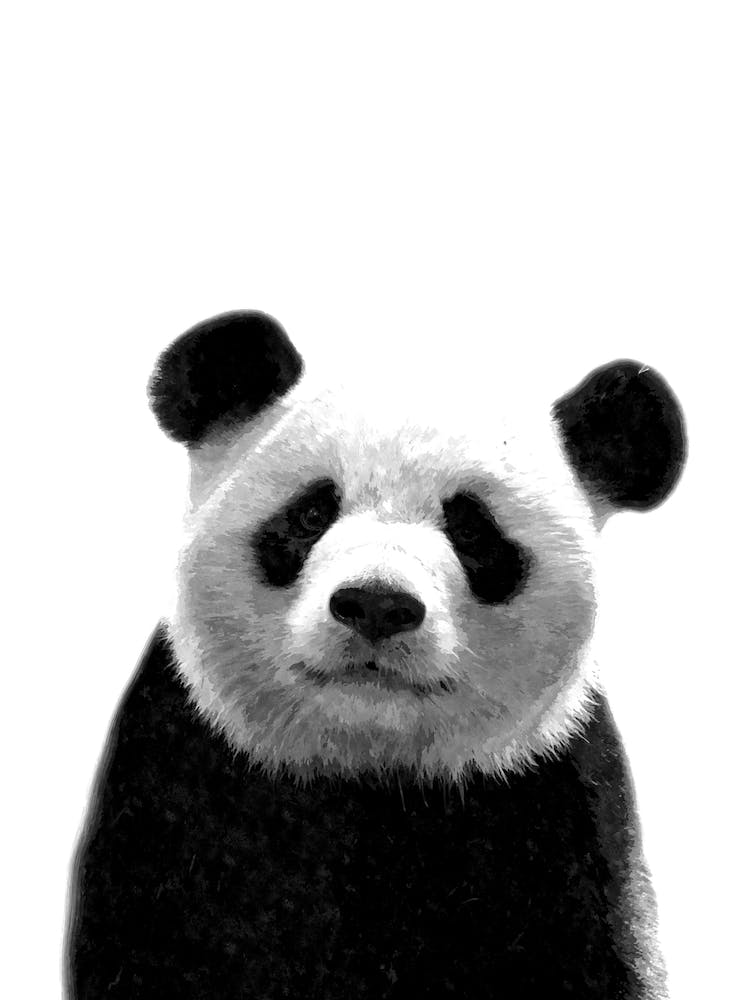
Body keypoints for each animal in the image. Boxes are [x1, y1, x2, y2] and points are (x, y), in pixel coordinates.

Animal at [66, 311, 686, 1000]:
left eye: (473, 531)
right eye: (312, 512)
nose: (377, 606)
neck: (370, 766)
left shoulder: (556, 811)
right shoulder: (179, 792)